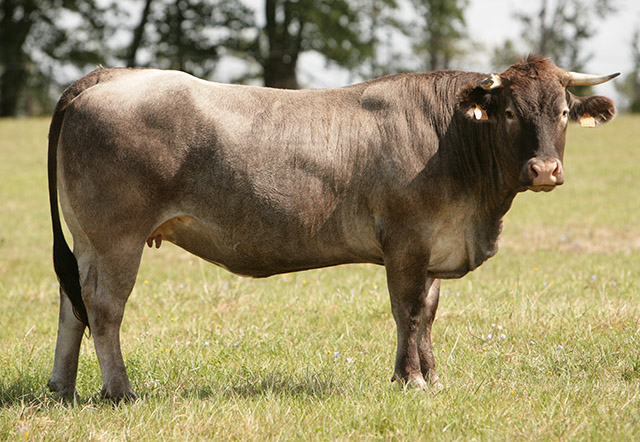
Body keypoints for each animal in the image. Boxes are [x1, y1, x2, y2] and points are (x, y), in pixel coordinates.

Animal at [47, 55, 616, 400]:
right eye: (510, 112)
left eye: (562, 111)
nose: (544, 170)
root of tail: (110, 75)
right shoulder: (406, 242)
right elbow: (408, 312)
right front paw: (409, 379)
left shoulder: (435, 243)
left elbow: (429, 314)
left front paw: (432, 377)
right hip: (116, 237)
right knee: (103, 307)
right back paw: (120, 391)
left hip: (87, 240)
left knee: (72, 304)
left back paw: (63, 387)